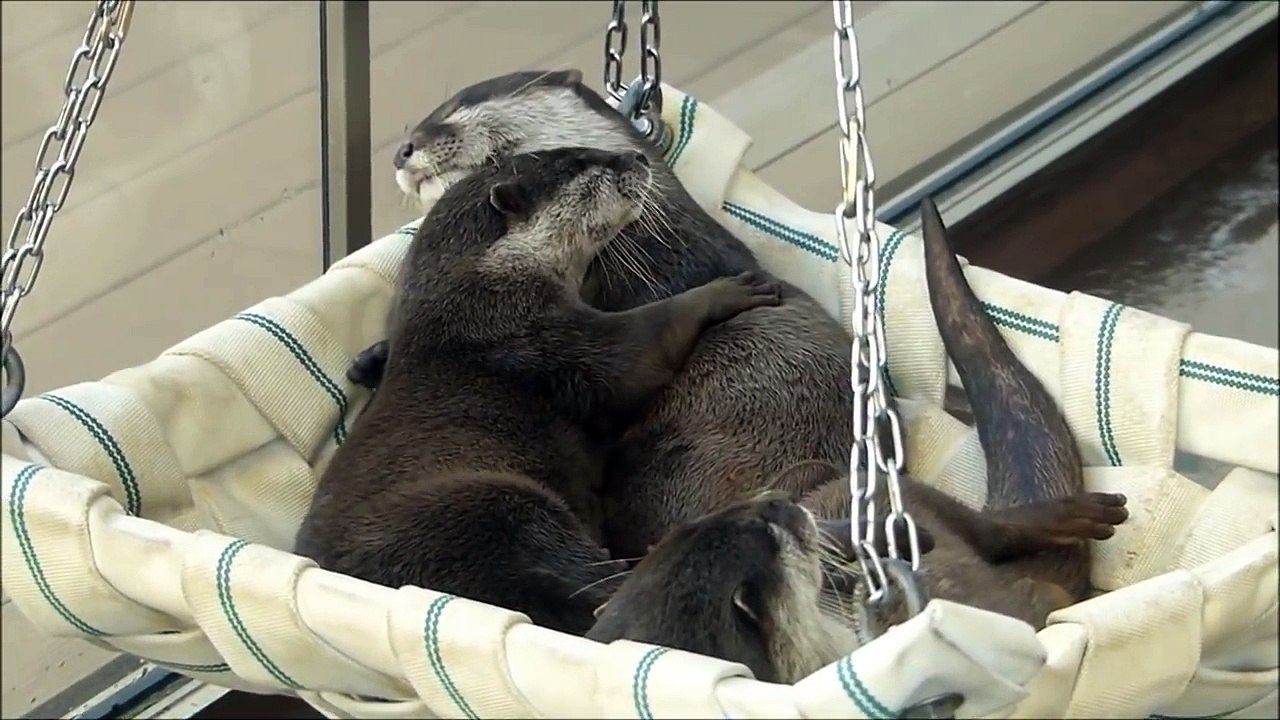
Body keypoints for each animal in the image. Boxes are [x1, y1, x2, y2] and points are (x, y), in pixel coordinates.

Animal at [295, 147, 782, 636]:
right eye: (582, 163)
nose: (636, 155)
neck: (475, 288)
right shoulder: (529, 333)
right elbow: (639, 350)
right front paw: (726, 291)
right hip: (491, 506)